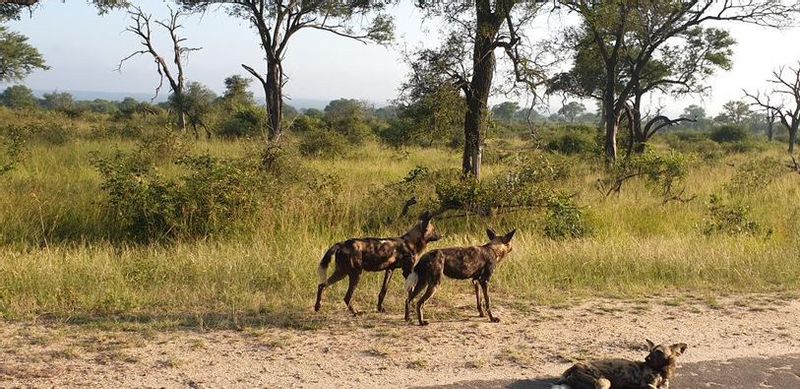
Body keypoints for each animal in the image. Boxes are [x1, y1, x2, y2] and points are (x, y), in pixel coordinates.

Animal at [312, 212, 440, 316]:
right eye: (434, 231)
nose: (441, 235)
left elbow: (383, 292)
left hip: (341, 273)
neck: (411, 242)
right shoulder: (407, 272)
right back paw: (355, 312)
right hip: (356, 274)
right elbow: (411, 291)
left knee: (322, 285)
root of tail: (342, 244)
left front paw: (380, 308)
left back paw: (317, 307)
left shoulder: (389, 270)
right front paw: (412, 305)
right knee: (347, 297)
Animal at [552, 338, 692, 386]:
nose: (646, 359)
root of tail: (574, 365)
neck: (663, 371)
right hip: (603, 380)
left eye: (658, 352)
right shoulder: (648, 385)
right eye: (651, 351)